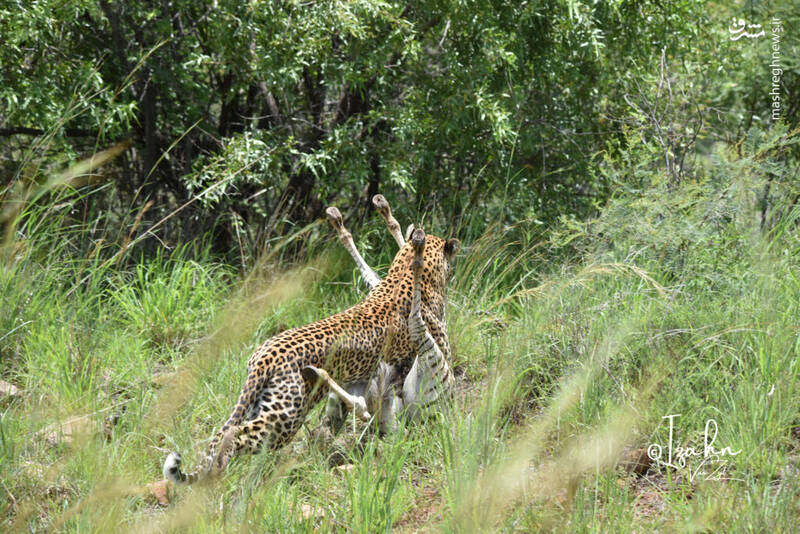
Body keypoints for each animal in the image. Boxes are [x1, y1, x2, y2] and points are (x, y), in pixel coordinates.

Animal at [162, 197, 456, 486]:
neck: (401, 275)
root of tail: (264, 355)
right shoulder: (425, 354)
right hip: (285, 418)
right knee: (233, 434)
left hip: (265, 407)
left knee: (226, 434)